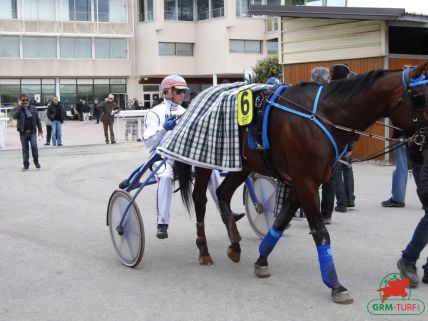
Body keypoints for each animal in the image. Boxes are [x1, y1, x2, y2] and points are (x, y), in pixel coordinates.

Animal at [172, 60, 428, 302]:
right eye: (420, 97)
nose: (423, 143)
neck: (324, 117)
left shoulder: (303, 182)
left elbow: (280, 221)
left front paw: (262, 259)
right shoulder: (306, 181)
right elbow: (320, 231)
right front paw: (335, 284)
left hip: (242, 164)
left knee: (223, 194)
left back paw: (234, 244)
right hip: (205, 160)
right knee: (200, 200)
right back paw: (204, 249)